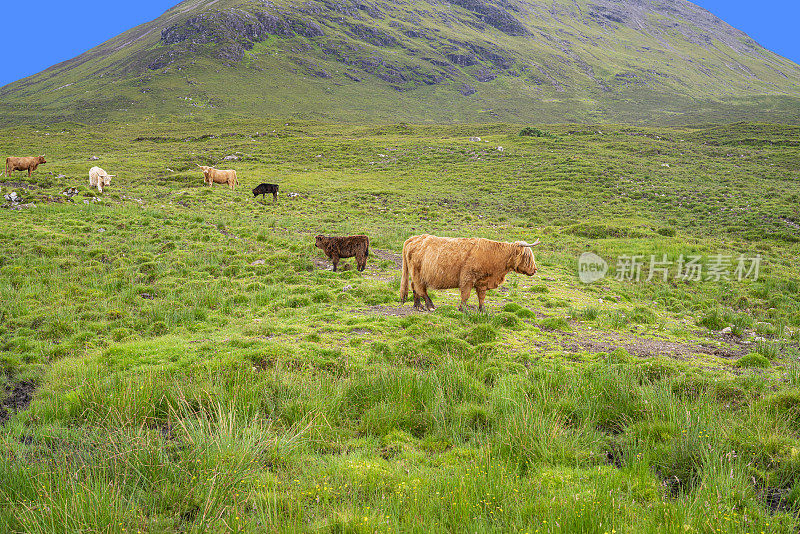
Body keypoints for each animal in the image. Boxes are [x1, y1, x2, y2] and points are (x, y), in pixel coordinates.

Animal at [404, 236, 540, 314]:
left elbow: (482, 297)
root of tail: (413, 238)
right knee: (420, 289)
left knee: (414, 287)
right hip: (417, 273)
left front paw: (482, 309)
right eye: (527, 256)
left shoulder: (482, 282)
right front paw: (462, 309)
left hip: (416, 274)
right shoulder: (467, 278)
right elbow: (466, 295)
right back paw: (430, 306)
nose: (535, 270)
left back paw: (418, 305)